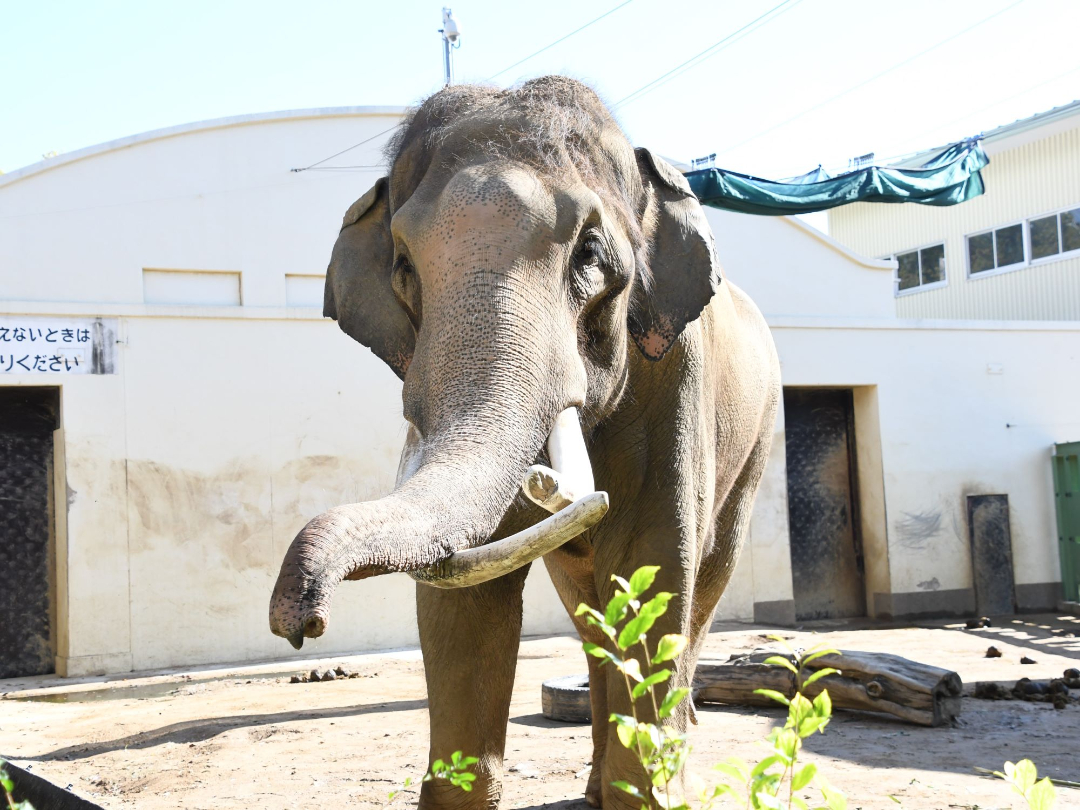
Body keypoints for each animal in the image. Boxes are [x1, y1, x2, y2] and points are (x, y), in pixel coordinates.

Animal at [267, 77, 777, 810]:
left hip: (758, 441)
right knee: (588, 609)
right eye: (404, 267)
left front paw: (649, 794)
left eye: (590, 254)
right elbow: (465, 601)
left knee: (703, 588)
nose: (301, 621)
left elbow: (650, 564)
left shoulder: (678, 379)